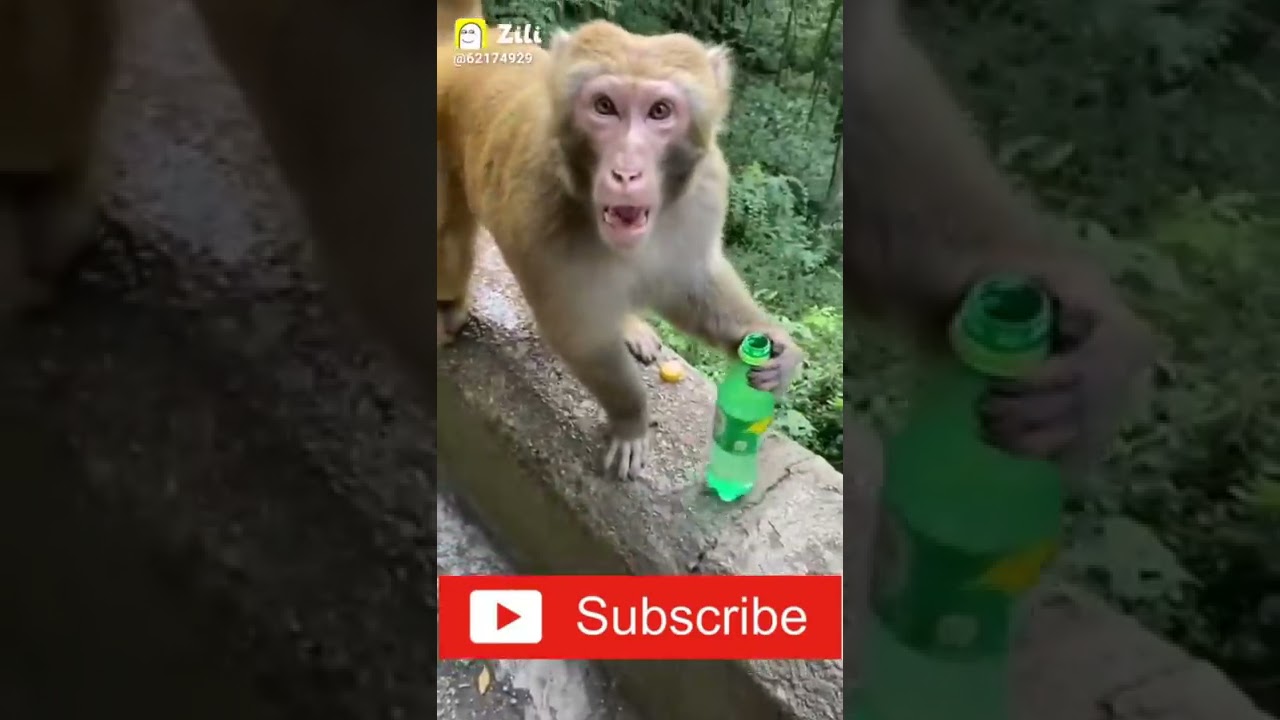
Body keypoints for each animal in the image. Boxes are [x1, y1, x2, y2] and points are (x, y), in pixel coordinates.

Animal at [436, 19, 806, 481]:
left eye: (660, 111)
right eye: (605, 106)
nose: (626, 173)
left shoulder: (705, 193)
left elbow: (691, 280)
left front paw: (775, 347)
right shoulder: (540, 207)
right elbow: (579, 332)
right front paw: (631, 420)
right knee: (449, 236)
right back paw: (448, 309)